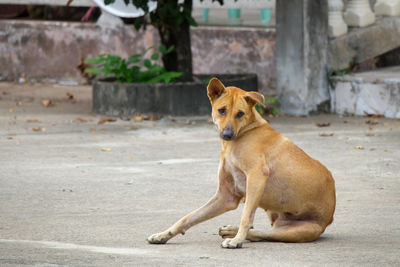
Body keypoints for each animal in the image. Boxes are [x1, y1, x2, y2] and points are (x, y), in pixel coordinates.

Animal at [147, 77, 334, 249]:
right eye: (222, 110)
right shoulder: (226, 196)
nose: (227, 134)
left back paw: (234, 235)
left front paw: (237, 240)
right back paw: (230, 231)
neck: (244, 133)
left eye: (240, 114)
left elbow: (245, 217)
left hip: (292, 231)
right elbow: (188, 217)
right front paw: (163, 235)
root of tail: (329, 218)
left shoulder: (257, 175)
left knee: (261, 233)